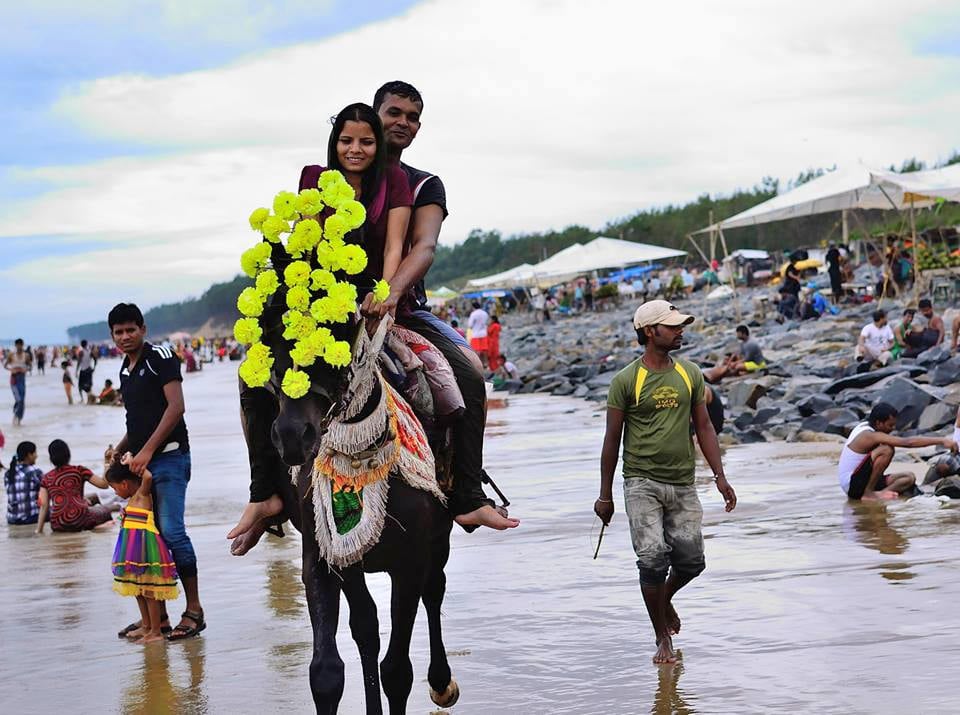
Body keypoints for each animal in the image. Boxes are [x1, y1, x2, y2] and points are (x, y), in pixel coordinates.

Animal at [258, 298, 462, 715]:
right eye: (271, 340)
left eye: (335, 334)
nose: (291, 436)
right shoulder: (328, 556)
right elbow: (332, 666)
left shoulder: (410, 563)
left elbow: (397, 670)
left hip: (439, 540)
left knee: (435, 589)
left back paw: (441, 681)